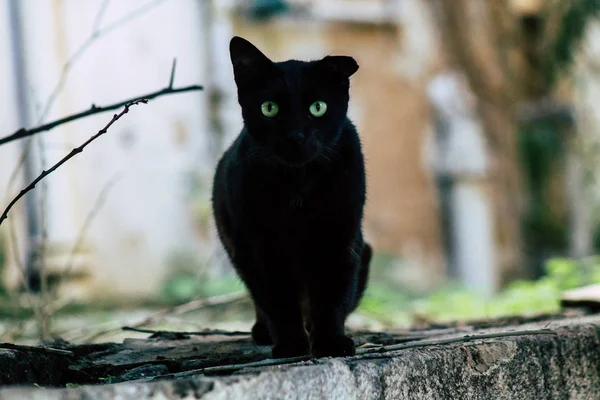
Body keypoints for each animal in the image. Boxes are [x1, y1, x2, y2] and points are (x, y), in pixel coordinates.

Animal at [211, 36, 370, 358]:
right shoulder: (261, 247)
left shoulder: (339, 237)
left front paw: (331, 343)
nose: (295, 136)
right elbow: (278, 301)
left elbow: (332, 296)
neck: (298, 185)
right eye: (269, 108)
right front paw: (291, 345)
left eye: (318, 107)